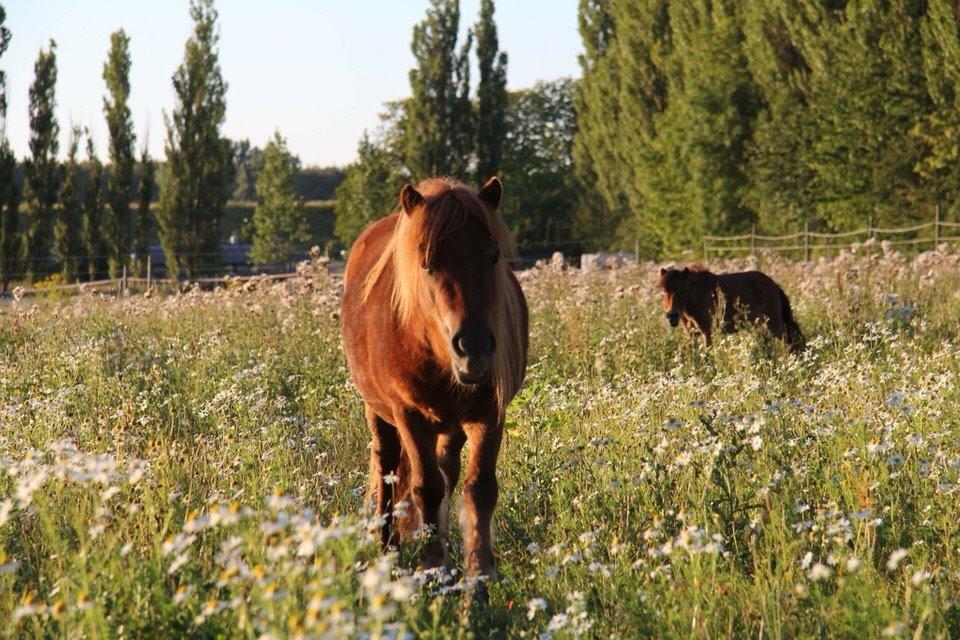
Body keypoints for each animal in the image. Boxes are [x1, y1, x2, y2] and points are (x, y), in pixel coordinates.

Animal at [342, 176, 528, 580]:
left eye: (492, 257)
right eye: (427, 263)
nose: (474, 347)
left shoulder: (489, 416)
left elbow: (479, 490)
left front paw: (478, 580)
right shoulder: (408, 415)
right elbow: (425, 488)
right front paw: (432, 569)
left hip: (451, 425)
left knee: (446, 472)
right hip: (379, 412)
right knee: (387, 466)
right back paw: (388, 547)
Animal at [656, 266, 808, 352]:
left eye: (683, 290)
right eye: (663, 291)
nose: (671, 316)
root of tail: (773, 284)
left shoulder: (707, 333)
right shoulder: (691, 335)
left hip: (774, 324)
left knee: (787, 342)